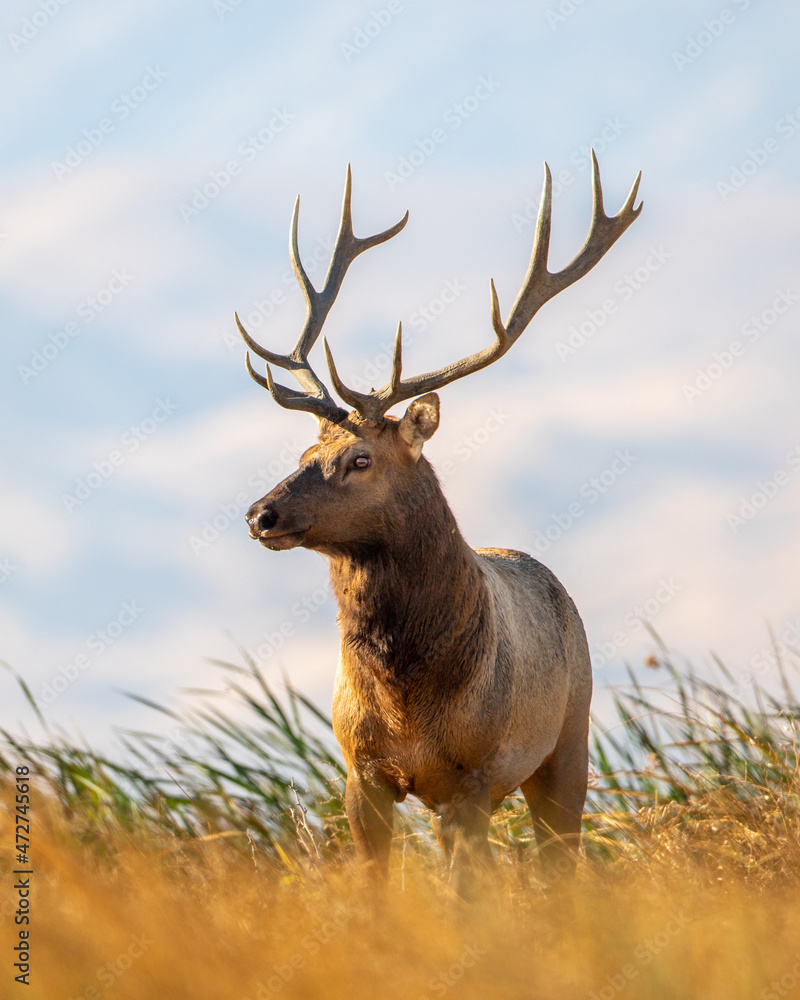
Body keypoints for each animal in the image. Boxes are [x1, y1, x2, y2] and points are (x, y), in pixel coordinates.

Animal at [237, 157, 641, 894]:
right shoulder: (359, 771)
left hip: (569, 738)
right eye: (305, 453)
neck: (407, 705)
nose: (260, 514)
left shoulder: (472, 774)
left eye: (359, 459)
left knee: (562, 862)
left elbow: (466, 898)